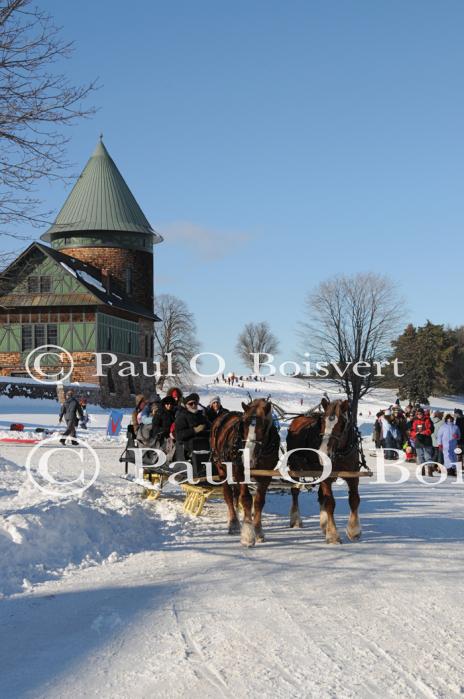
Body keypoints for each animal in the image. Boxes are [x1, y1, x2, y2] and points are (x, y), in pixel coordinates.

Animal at [210, 400, 280, 548]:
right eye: (244, 423)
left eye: (264, 425)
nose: (247, 458)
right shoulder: (240, 472)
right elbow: (247, 499)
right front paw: (248, 535)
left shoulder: (266, 476)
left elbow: (259, 501)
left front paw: (258, 530)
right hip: (221, 468)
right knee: (228, 495)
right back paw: (233, 522)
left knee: (236, 494)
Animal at [286, 396, 362, 544]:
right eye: (322, 421)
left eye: (342, 423)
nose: (323, 454)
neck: (340, 452)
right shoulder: (327, 478)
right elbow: (330, 502)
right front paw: (332, 535)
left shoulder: (353, 476)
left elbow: (354, 499)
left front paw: (354, 530)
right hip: (295, 467)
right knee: (295, 491)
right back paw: (296, 519)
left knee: (321, 497)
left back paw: (324, 524)